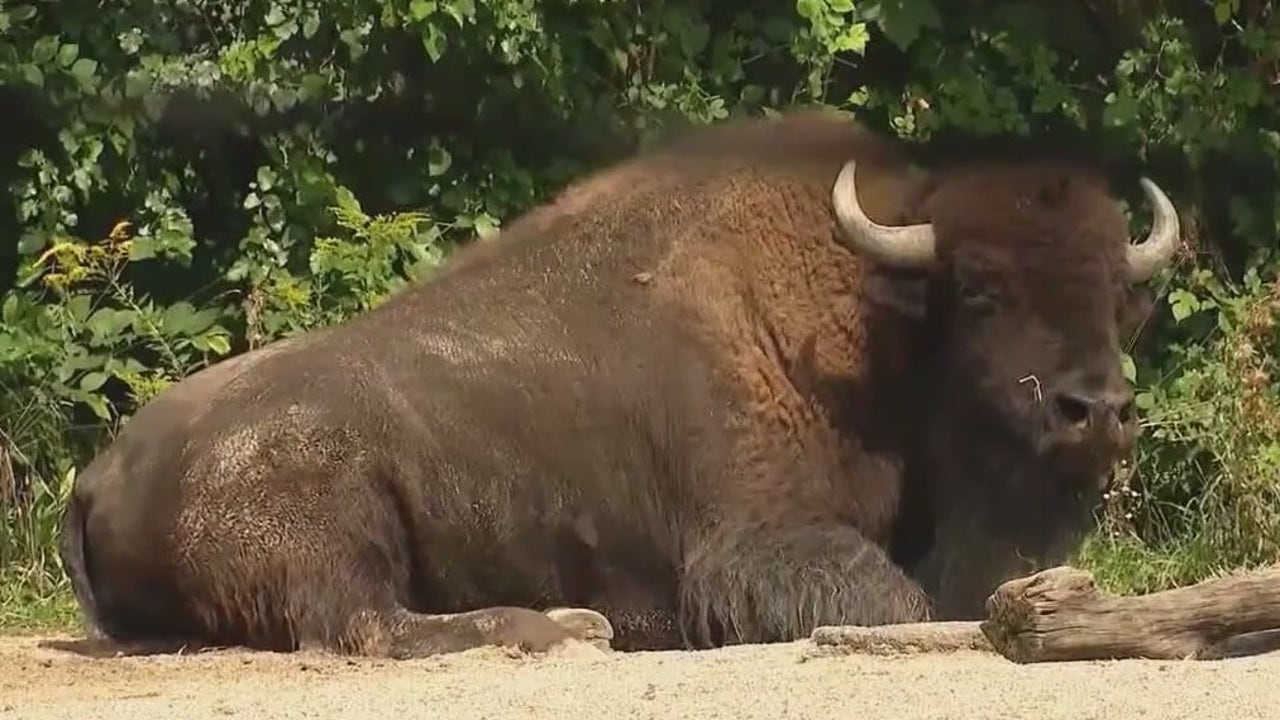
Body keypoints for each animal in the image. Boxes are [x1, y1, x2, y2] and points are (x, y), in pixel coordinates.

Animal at [57, 109, 1177, 653]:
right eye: (977, 288)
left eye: (1119, 293)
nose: (1097, 410)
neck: (870, 330)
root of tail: (96, 473)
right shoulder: (755, 547)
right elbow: (896, 602)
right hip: (335, 520)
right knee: (367, 627)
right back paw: (556, 629)